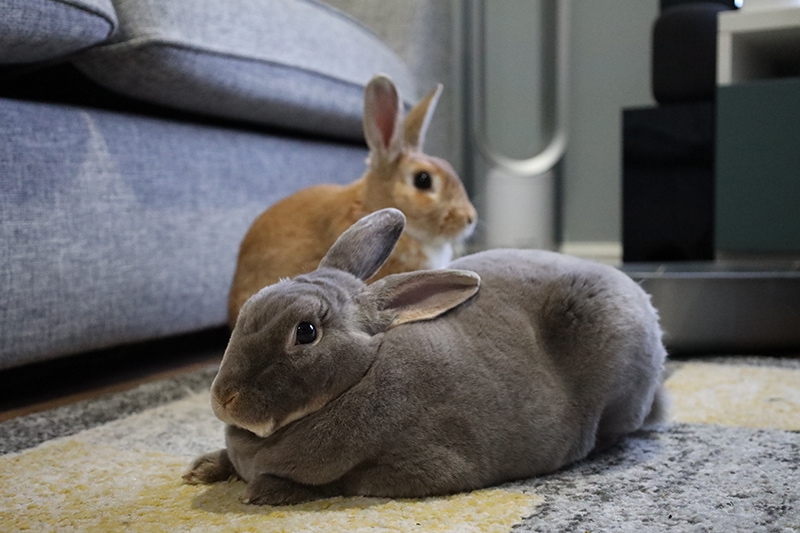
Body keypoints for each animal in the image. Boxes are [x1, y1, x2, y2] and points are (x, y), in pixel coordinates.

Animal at [184, 207, 664, 502]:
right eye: (250, 308)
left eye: (305, 333)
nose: (224, 399)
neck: (359, 375)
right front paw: (202, 469)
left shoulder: (413, 468)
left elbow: (340, 484)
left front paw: (264, 491)